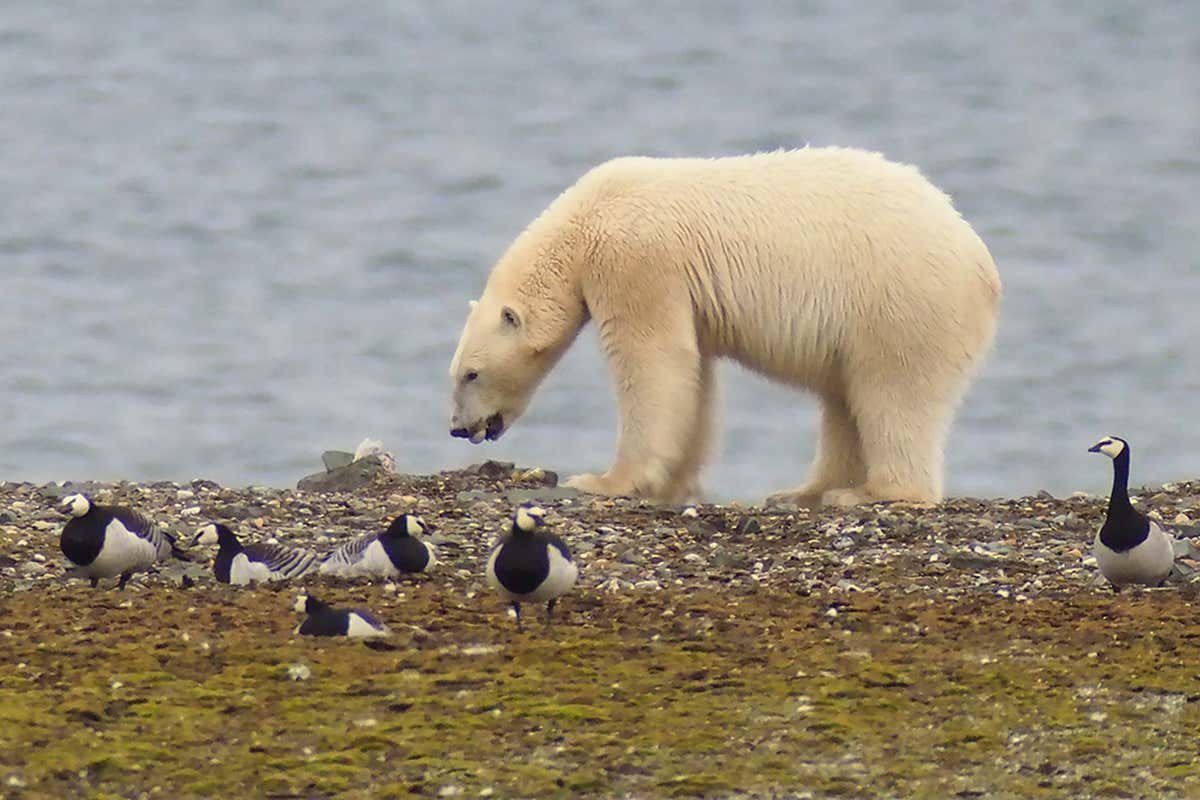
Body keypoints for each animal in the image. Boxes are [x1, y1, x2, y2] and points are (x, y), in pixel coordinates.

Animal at [448, 147, 1001, 507]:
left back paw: (869, 493)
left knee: (892, 390)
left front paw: (603, 481)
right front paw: (673, 485)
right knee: (844, 397)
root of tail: (981, 263)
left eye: (470, 374)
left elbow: (652, 360)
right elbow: (694, 376)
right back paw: (804, 491)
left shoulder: (636, 262)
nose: (458, 429)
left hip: (898, 301)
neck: (585, 222)